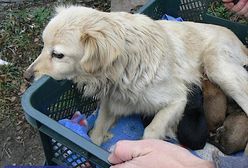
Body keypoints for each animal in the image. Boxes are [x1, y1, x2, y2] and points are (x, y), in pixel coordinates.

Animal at [24, 5, 248, 145]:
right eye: (43, 46)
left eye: (58, 55)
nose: (27, 77)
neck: (123, 67)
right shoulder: (111, 103)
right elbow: (95, 134)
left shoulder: (178, 99)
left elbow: (151, 132)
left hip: (217, 67)